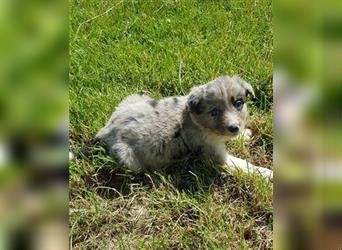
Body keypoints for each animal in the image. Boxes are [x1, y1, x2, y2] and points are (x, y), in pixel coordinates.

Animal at [95, 75, 272, 179]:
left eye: (239, 103)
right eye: (214, 112)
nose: (234, 128)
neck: (196, 121)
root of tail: (106, 130)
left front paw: (243, 135)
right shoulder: (215, 156)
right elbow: (244, 165)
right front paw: (267, 173)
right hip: (129, 158)